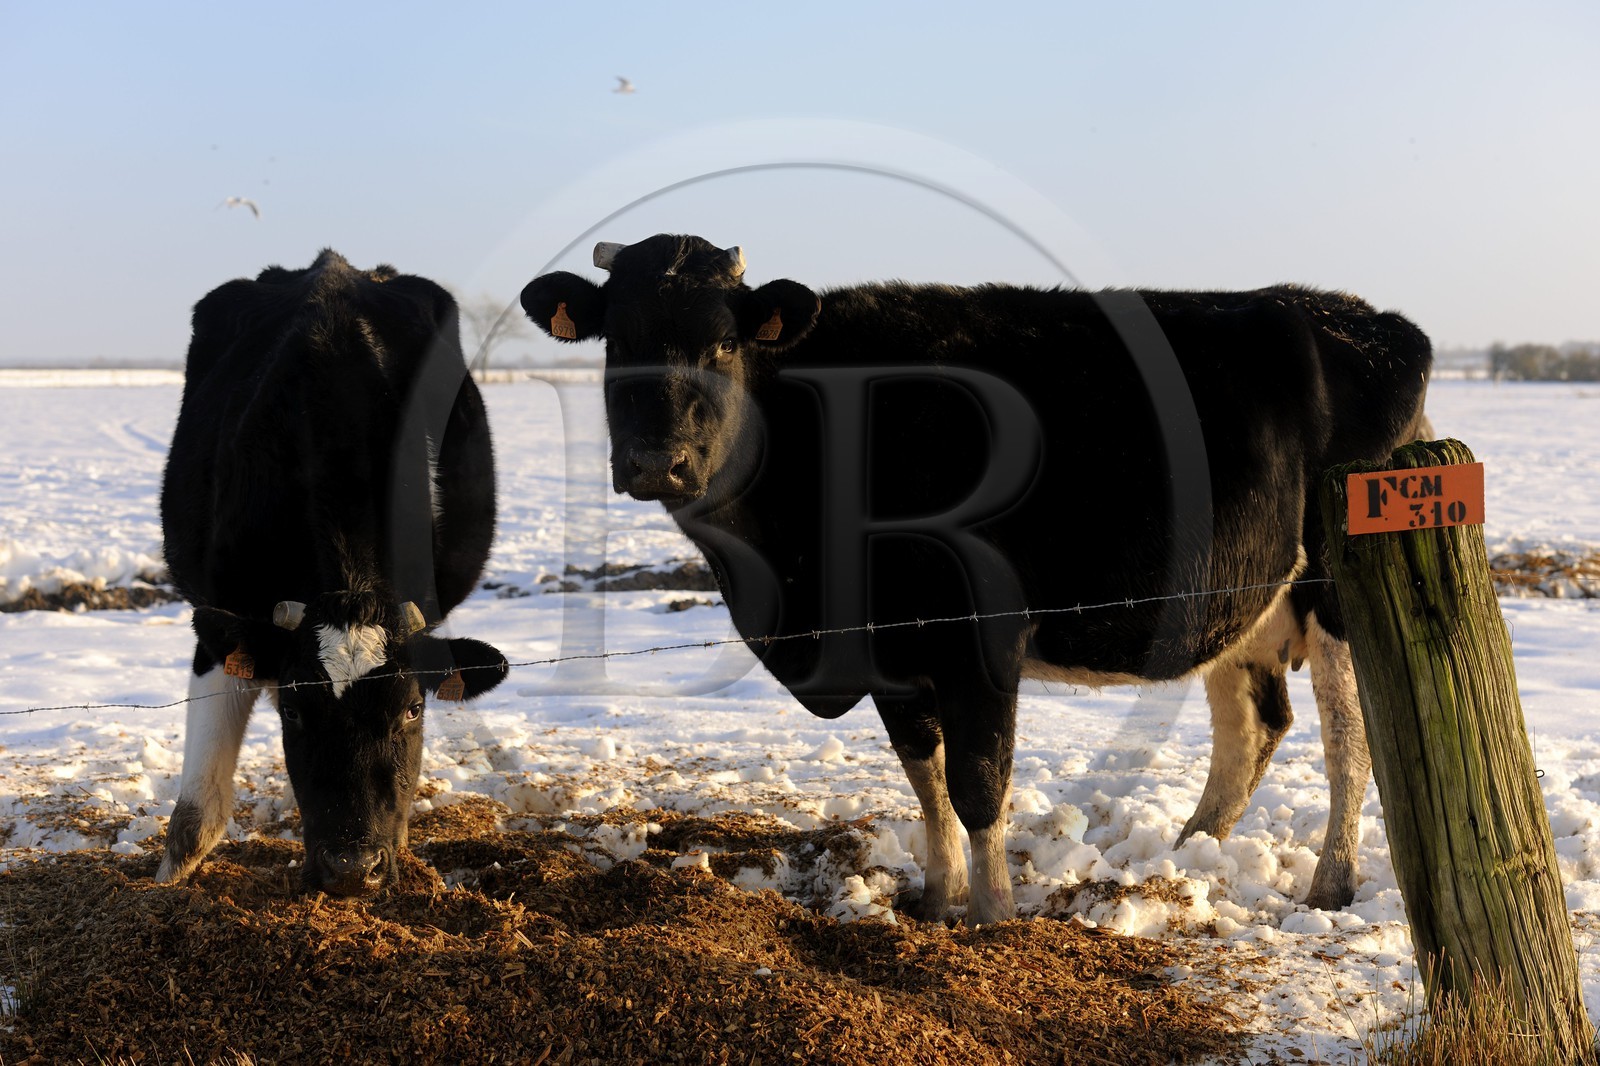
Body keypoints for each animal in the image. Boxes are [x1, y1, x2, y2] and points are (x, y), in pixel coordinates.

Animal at [157, 249, 509, 896]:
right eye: (296, 711)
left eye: (413, 709)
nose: (351, 868)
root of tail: (333, 263)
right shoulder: (220, 625)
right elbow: (194, 820)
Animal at [520, 234, 1433, 925]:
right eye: (617, 341)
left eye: (721, 342)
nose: (657, 463)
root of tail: (1355, 316)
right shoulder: (889, 648)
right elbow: (923, 775)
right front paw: (936, 898)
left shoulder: (980, 636)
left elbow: (978, 783)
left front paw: (993, 916)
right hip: (1242, 598)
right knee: (1254, 724)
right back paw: (1186, 852)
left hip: (1337, 590)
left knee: (1349, 738)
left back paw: (1330, 882)